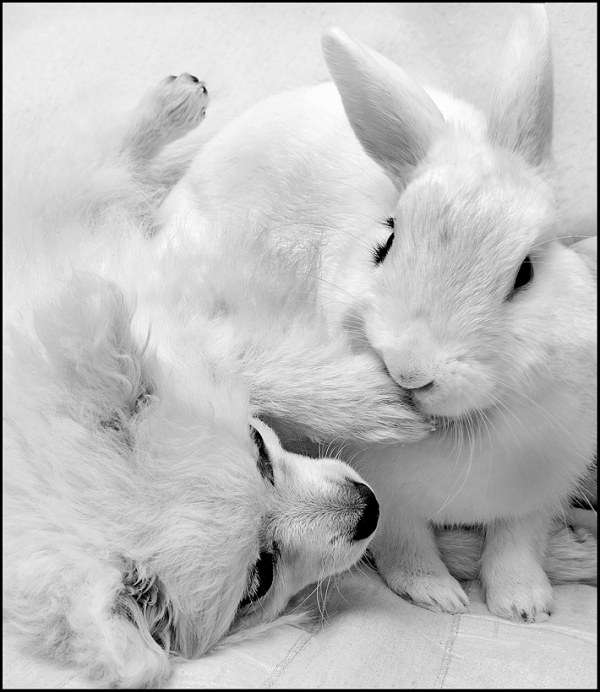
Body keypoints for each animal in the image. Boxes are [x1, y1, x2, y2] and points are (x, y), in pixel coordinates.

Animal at [156, 4, 597, 621]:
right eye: (385, 243)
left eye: (526, 274)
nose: (409, 371)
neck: (468, 431)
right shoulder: (391, 499)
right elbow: (403, 544)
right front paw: (438, 596)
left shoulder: (538, 494)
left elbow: (515, 544)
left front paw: (524, 605)